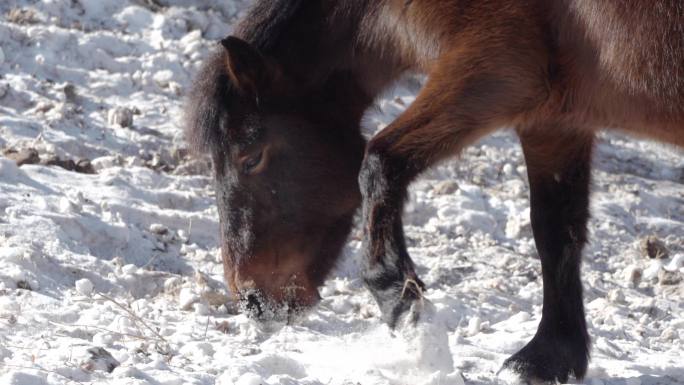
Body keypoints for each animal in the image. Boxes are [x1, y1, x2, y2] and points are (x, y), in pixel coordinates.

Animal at [184, 1, 680, 382]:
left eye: (250, 156)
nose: (251, 298)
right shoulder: (553, 122)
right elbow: (556, 235)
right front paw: (548, 357)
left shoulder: (498, 73)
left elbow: (379, 162)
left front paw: (400, 304)